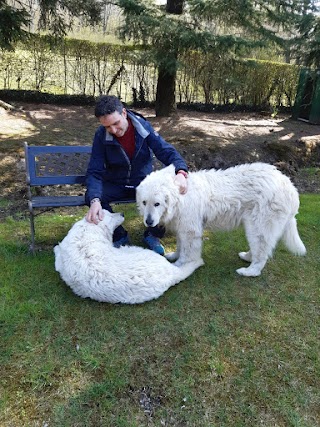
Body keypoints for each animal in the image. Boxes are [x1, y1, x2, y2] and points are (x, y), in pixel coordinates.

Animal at [136, 164, 306, 278]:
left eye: (157, 204)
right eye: (144, 202)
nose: (149, 222)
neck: (179, 196)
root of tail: (289, 185)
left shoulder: (190, 230)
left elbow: (187, 252)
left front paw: (179, 265)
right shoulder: (182, 227)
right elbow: (180, 246)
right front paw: (174, 256)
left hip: (259, 226)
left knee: (261, 252)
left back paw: (250, 271)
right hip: (255, 227)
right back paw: (247, 257)